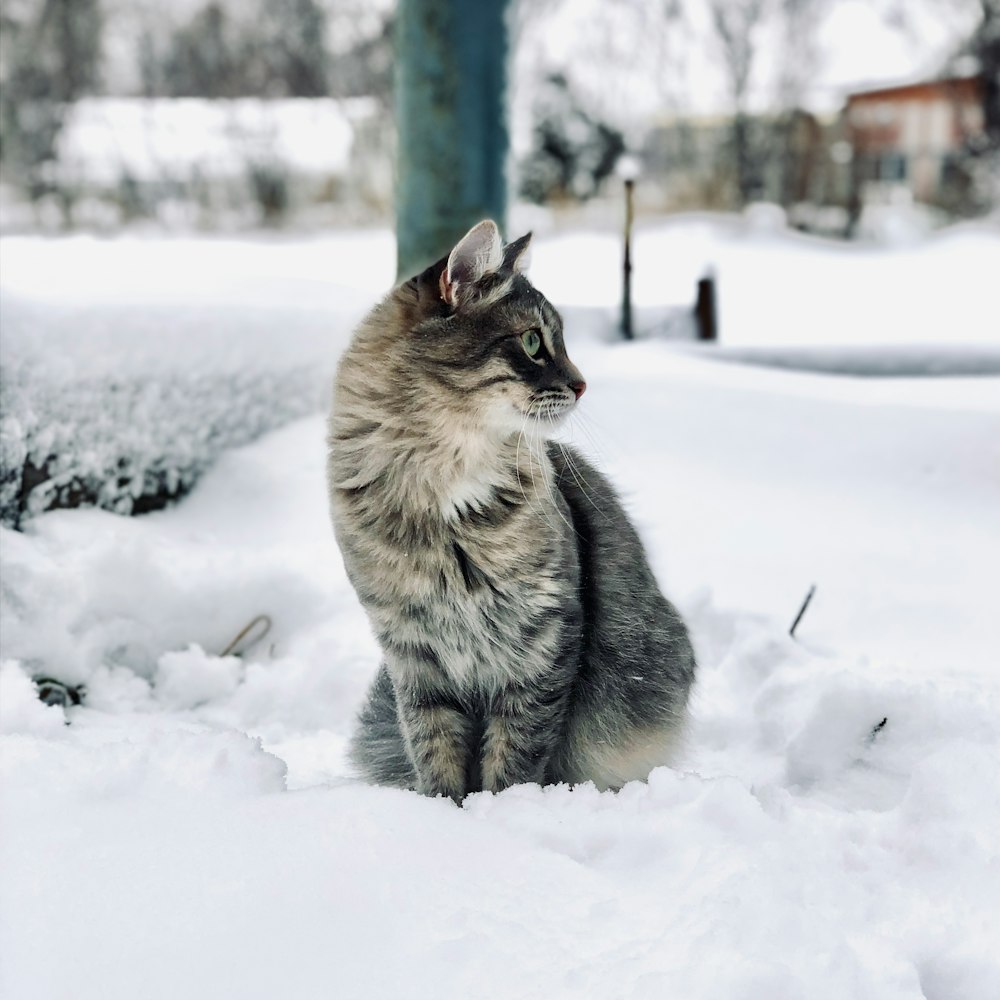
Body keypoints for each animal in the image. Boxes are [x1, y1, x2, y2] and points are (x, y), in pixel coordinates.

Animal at [328, 221, 696, 804]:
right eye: (531, 342)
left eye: (560, 341)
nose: (581, 384)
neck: (440, 490)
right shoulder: (413, 652)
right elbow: (434, 750)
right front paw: (441, 812)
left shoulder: (540, 642)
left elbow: (515, 756)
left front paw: (501, 814)